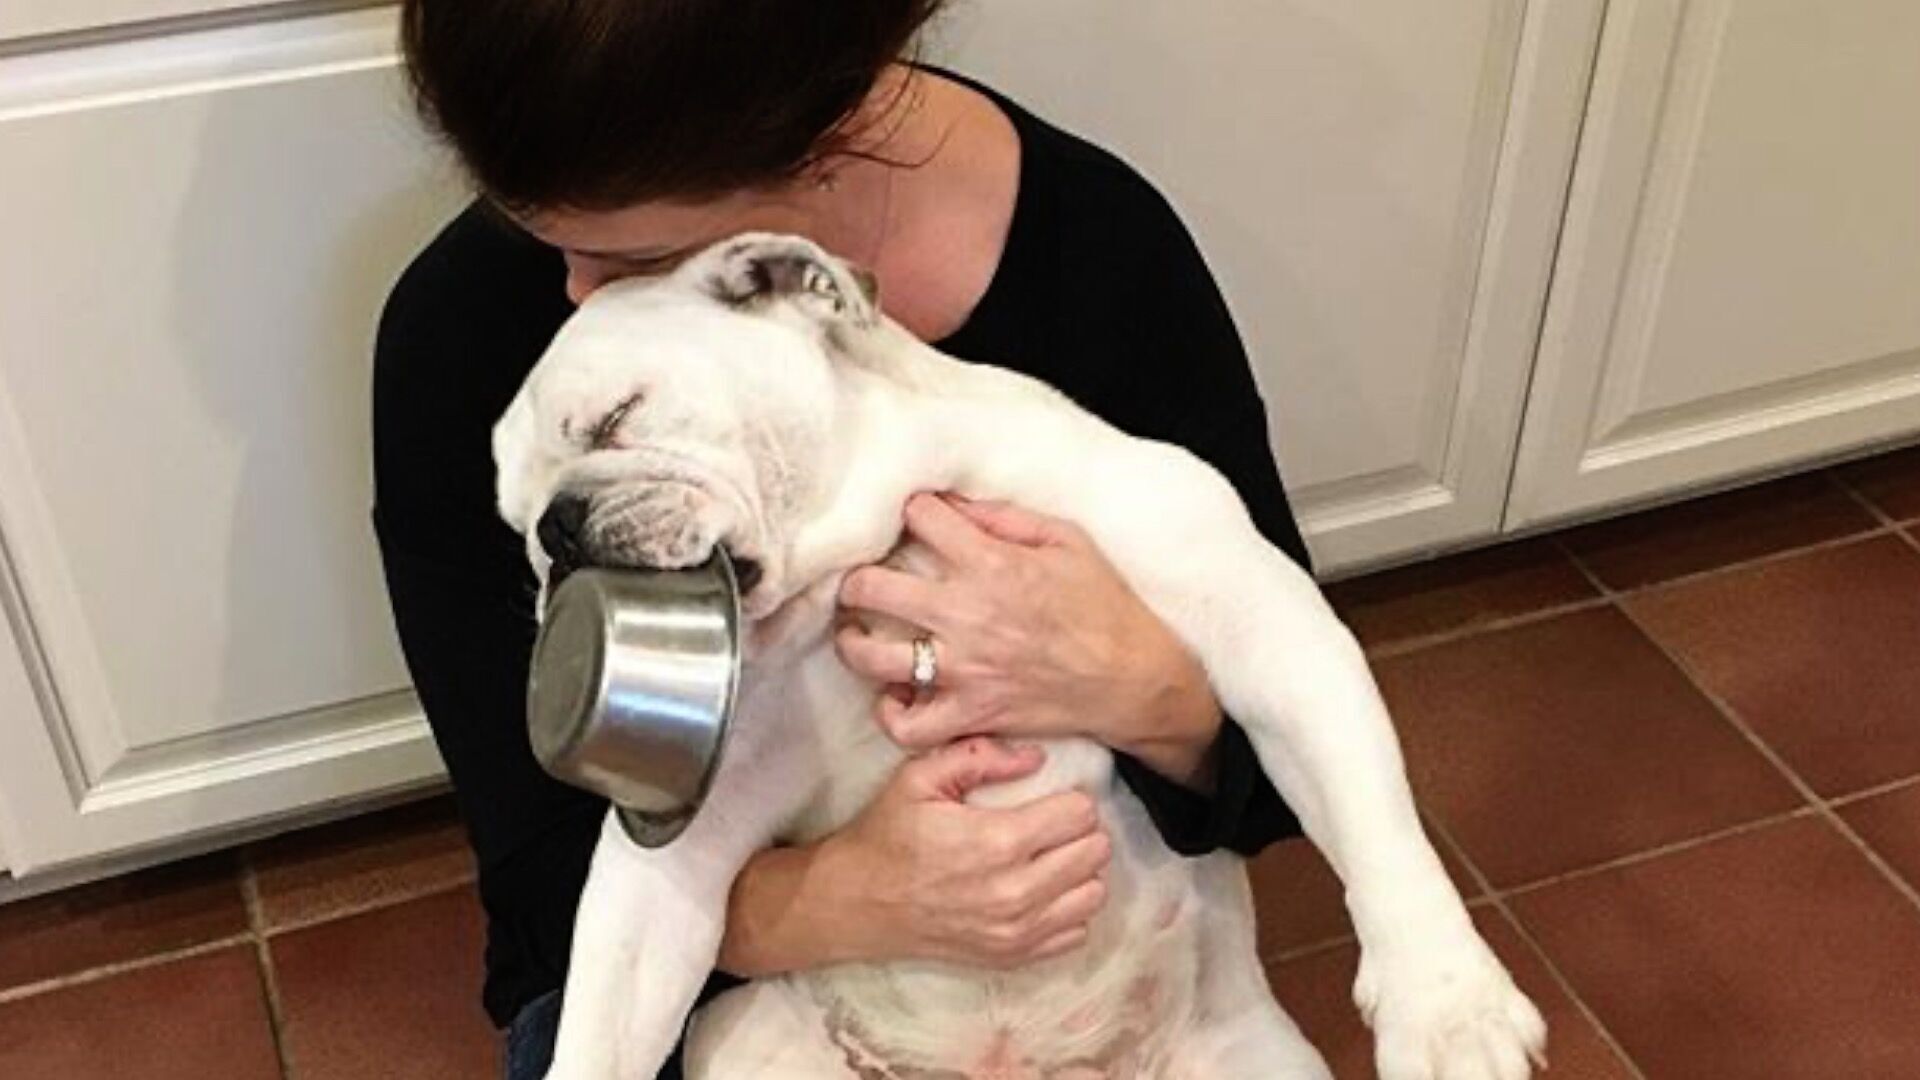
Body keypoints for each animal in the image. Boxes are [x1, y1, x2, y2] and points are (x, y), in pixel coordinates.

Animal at [491, 235, 1543, 1076]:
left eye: (618, 416)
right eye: (513, 523)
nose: (556, 531)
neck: (864, 565)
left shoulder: (1266, 625)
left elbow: (1373, 818)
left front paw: (1447, 1008)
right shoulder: (677, 851)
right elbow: (602, 1016)